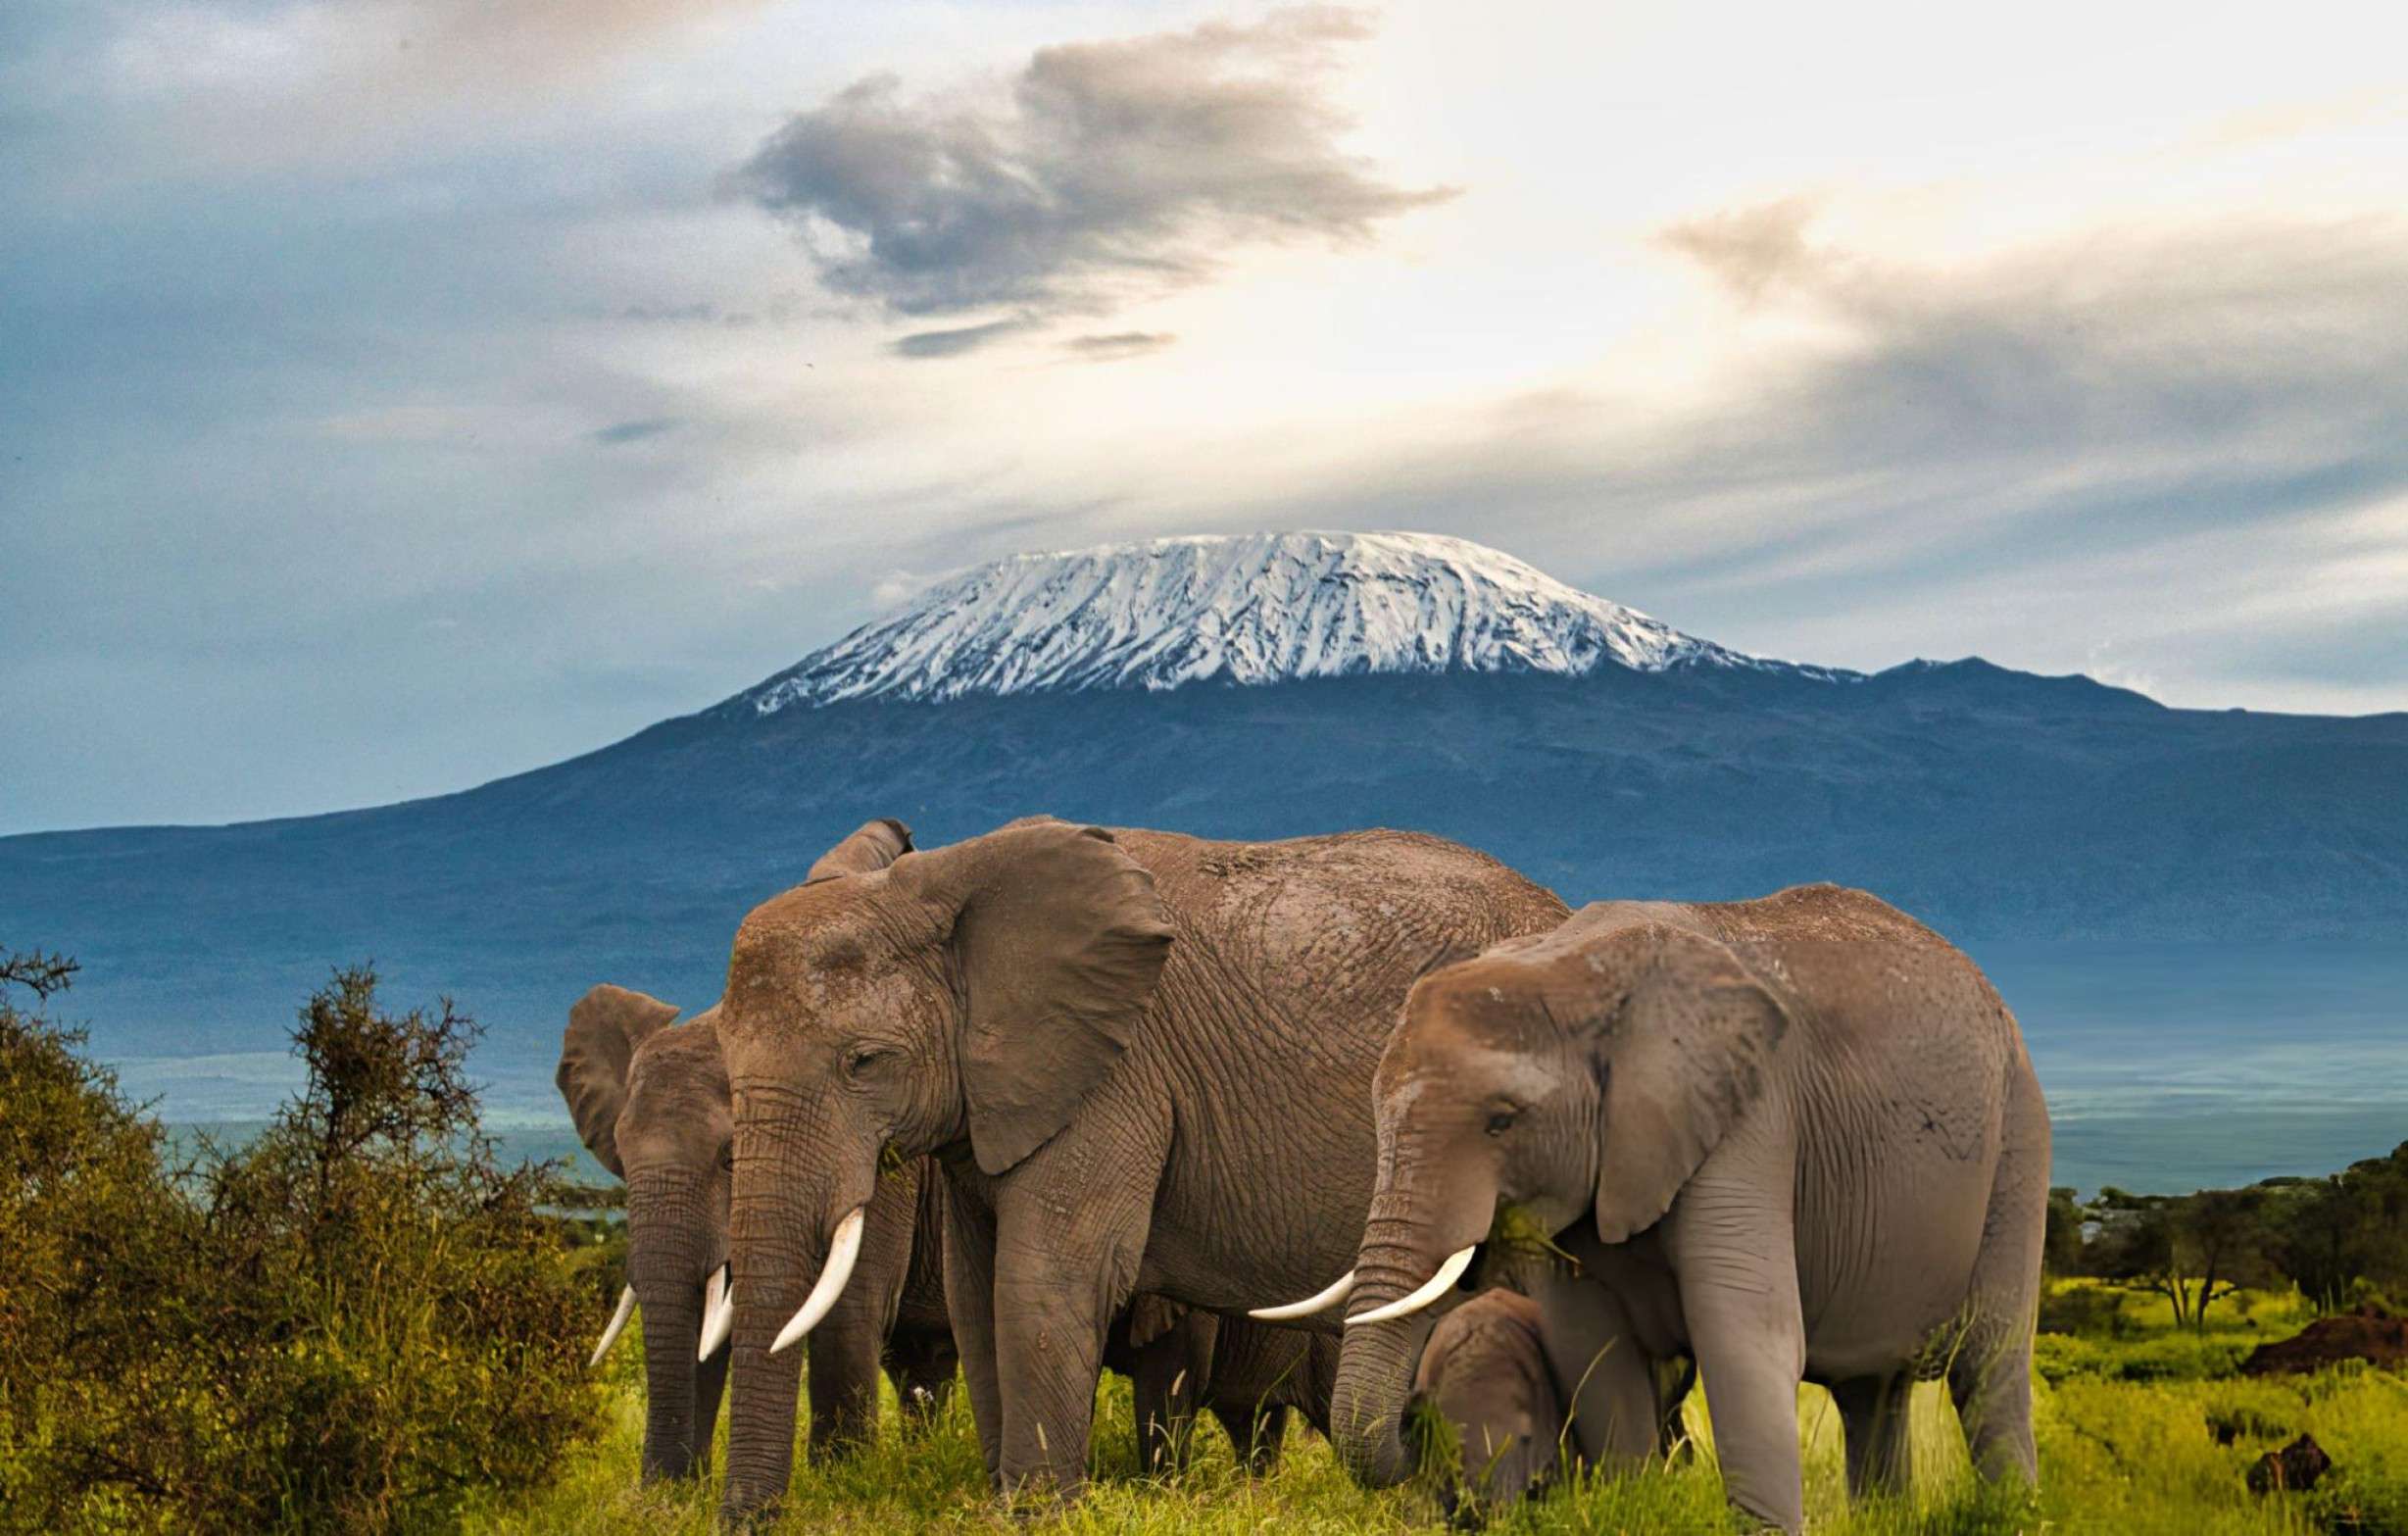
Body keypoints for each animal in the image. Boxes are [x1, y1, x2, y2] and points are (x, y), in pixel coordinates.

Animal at [712, 817, 1567, 1519]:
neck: (948, 886)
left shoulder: (1116, 1075)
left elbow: (1044, 1276)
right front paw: (1006, 1501)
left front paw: (1035, 1513)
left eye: (863, 1061)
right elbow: (974, 1289)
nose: (748, 1520)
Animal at [1276, 885, 2049, 1533]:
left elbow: (1744, 1334)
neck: (1571, 966)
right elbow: (1593, 1346)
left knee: (1988, 1365)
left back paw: (2015, 1511)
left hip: (2017, 1138)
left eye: (1501, 1121)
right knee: (1871, 1391)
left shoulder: (1750, 1118)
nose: (1415, 1420)